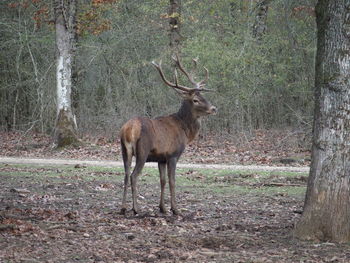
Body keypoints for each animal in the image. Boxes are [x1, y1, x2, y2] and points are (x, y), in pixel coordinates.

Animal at [121, 55, 217, 217]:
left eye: (203, 95)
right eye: (195, 100)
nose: (214, 108)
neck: (184, 130)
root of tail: (129, 129)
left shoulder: (161, 158)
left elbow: (163, 180)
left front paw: (163, 208)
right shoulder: (173, 154)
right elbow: (172, 181)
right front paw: (175, 209)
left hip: (124, 150)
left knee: (126, 175)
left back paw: (122, 208)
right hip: (142, 151)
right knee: (134, 175)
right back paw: (136, 208)